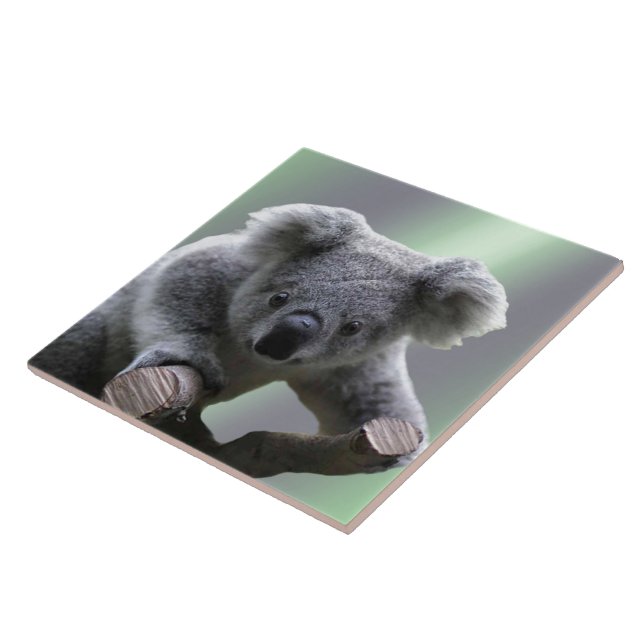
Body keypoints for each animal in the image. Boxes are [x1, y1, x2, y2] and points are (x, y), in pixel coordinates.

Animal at [29, 204, 508, 477]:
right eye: (281, 297)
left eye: (353, 327)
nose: (282, 340)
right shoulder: (218, 270)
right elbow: (179, 288)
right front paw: (184, 354)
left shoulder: (350, 367)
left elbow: (369, 405)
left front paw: (391, 453)